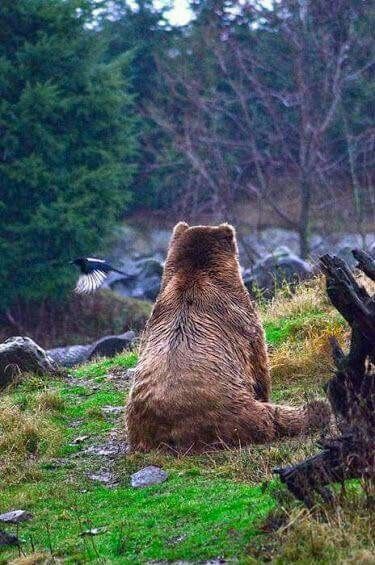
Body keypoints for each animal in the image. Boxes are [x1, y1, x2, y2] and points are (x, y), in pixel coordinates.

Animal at [125, 220, 328, 450]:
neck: (195, 272)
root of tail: (176, 431)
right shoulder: (241, 317)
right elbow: (258, 362)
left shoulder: (153, 318)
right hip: (236, 410)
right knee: (273, 416)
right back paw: (316, 409)